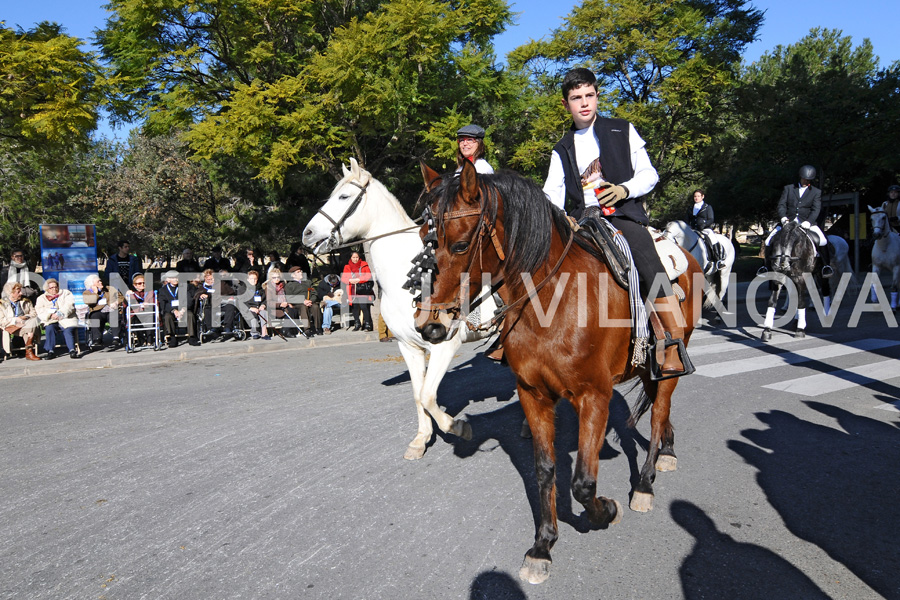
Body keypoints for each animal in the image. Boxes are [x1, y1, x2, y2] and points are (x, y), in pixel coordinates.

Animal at [306, 158, 496, 460]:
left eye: (344, 197)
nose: (307, 234)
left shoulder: (444, 345)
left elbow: (429, 396)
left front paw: (458, 427)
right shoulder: (409, 347)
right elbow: (419, 395)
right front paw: (421, 440)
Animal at [414, 162, 704, 584]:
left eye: (461, 245)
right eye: (427, 239)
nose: (430, 326)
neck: (553, 300)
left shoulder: (594, 395)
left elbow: (582, 482)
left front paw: (606, 511)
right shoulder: (533, 394)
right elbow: (545, 469)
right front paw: (543, 545)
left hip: (669, 365)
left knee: (658, 412)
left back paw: (646, 483)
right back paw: (668, 449)